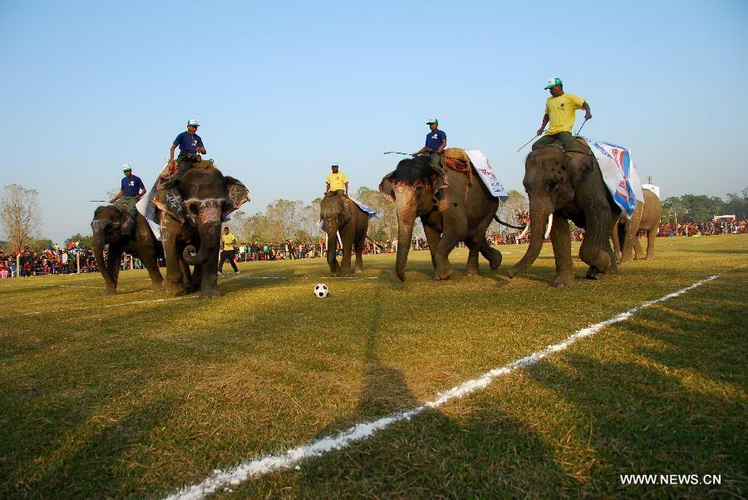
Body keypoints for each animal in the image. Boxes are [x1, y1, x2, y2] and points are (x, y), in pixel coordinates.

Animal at [153, 163, 250, 296]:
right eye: (193, 207)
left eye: (224, 205)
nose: (191, 250)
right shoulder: (169, 213)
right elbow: (169, 239)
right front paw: (172, 290)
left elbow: (213, 244)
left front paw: (210, 295)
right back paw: (185, 289)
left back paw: (193, 286)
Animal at [508, 143, 620, 288]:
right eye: (526, 189)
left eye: (553, 185)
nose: (509, 274)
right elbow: (558, 227)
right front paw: (562, 284)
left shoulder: (591, 180)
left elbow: (600, 211)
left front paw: (603, 263)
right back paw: (603, 271)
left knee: (606, 224)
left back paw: (600, 271)